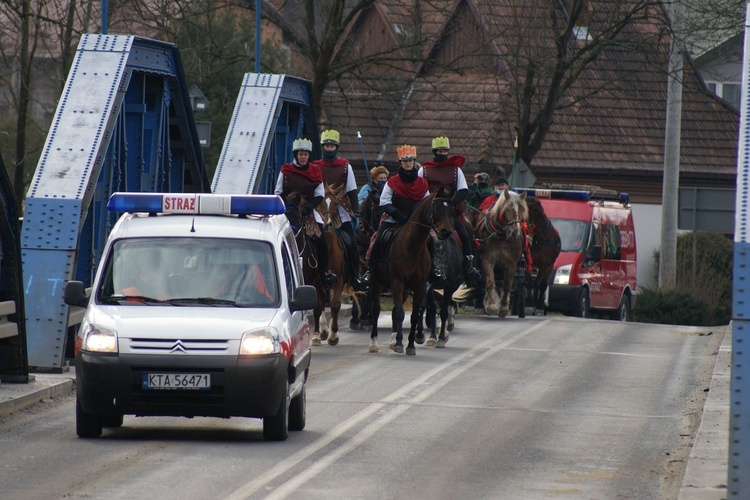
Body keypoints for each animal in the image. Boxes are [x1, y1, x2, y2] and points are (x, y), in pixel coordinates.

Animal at [368, 188, 452, 356]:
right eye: (437, 207)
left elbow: (413, 315)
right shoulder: (397, 281)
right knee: (376, 310)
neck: (413, 246)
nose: (446, 232)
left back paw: (393, 340)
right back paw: (374, 343)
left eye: (449, 209)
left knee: (395, 310)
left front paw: (411, 345)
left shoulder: (419, 285)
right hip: (376, 283)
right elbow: (400, 313)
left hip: (406, 289)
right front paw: (401, 344)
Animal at [476, 189, 528, 318]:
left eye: (522, 209)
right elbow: (490, 282)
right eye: (508, 209)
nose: (515, 232)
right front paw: (492, 306)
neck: (502, 236)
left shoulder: (512, 263)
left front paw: (503, 308)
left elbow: (507, 285)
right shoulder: (487, 259)